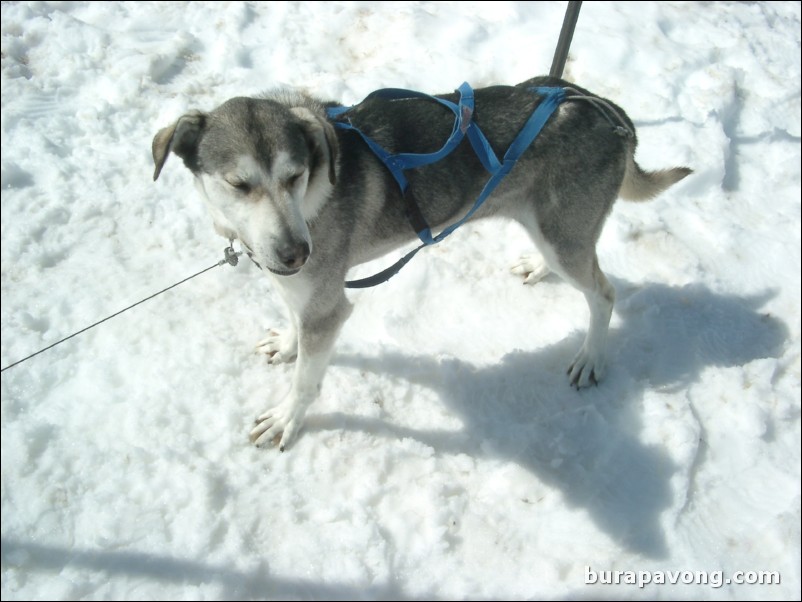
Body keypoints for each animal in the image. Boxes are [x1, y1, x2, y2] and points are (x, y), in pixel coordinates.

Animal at [153, 75, 692, 448]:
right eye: (239, 184)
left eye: (295, 175)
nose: (296, 252)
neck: (312, 199)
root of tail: (605, 110)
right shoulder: (298, 288)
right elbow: (293, 321)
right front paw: (287, 343)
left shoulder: (327, 307)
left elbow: (306, 379)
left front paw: (287, 416)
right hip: (553, 232)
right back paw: (537, 268)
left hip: (566, 237)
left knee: (604, 293)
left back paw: (591, 357)